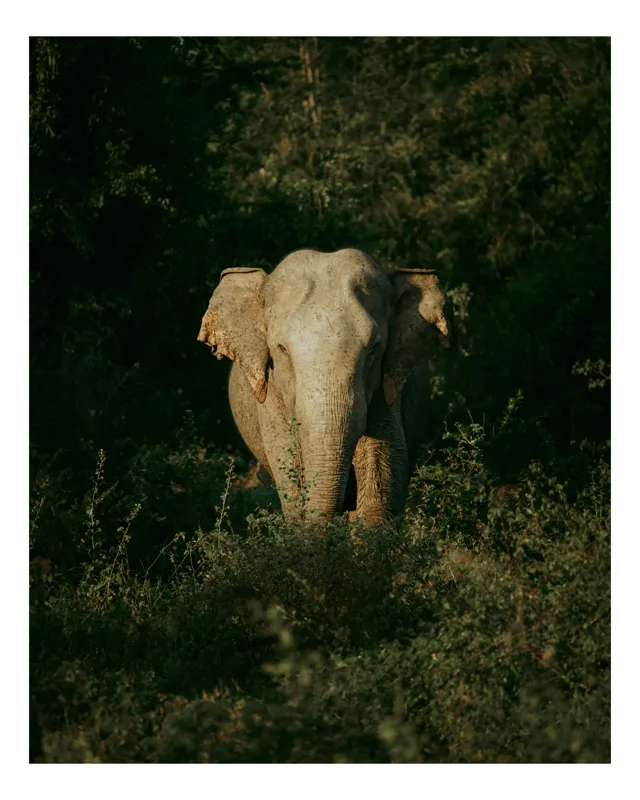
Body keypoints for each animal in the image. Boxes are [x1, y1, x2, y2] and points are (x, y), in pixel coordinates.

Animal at [197, 248, 453, 525]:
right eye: (282, 349)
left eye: (374, 348)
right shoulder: (271, 395)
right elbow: (289, 469)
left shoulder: (386, 390)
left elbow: (383, 469)